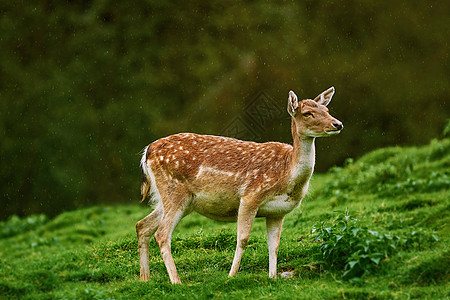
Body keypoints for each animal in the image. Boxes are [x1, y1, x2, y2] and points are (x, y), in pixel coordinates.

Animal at [135, 86, 342, 284]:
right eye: (308, 113)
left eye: (326, 109)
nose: (337, 124)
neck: (286, 175)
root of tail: (147, 152)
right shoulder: (250, 196)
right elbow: (242, 239)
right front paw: (231, 276)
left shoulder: (278, 212)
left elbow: (274, 245)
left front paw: (273, 277)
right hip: (174, 191)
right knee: (161, 234)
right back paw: (176, 281)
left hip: (175, 199)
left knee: (142, 225)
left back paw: (145, 279)